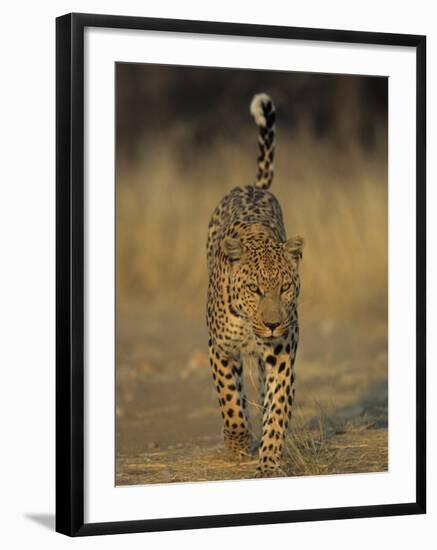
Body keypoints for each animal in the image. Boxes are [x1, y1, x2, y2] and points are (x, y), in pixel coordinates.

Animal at [205, 94, 304, 478]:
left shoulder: (282, 353)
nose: (273, 323)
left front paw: (269, 460)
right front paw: (237, 441)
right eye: (254, 290)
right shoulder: (219, 347)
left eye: (285, 287)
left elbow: (277, 409)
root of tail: (253, 187)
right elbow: (229, 398)